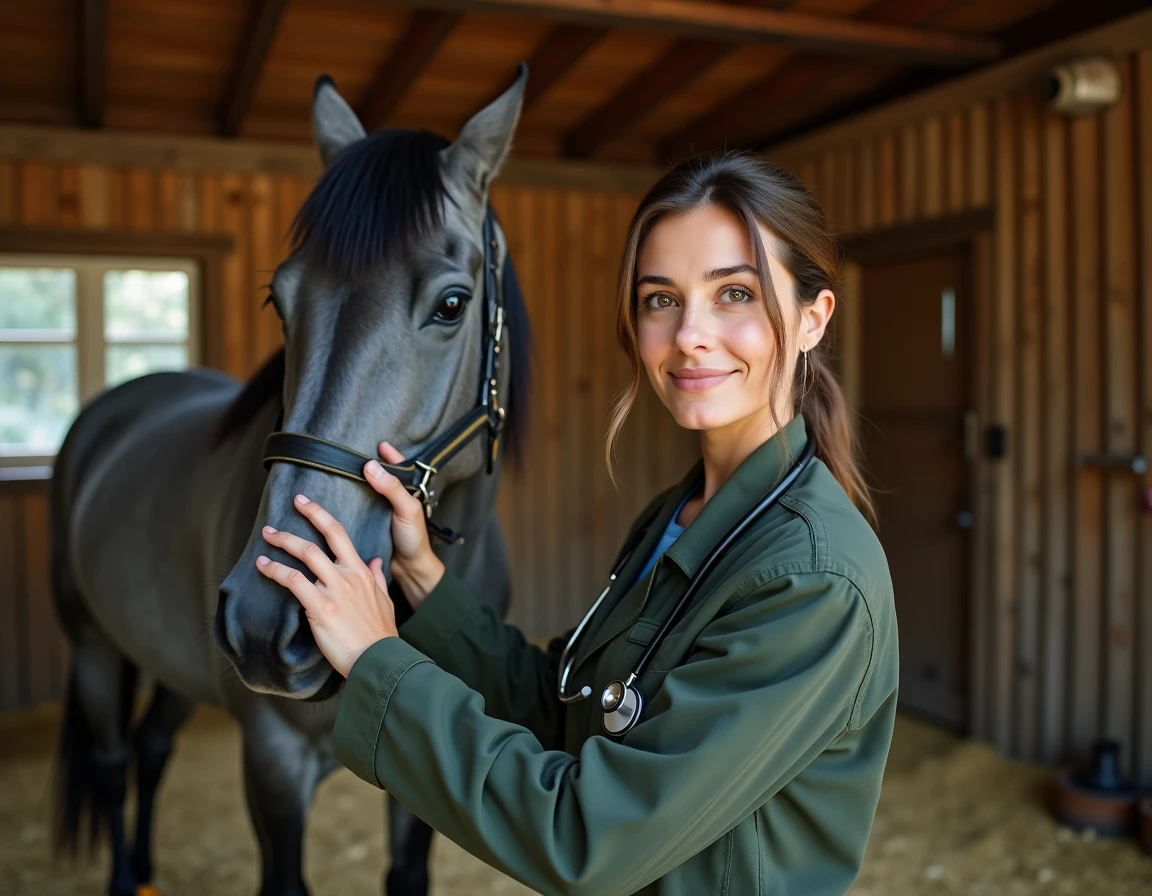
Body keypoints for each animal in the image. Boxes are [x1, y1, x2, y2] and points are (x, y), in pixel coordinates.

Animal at [49, 67, 531, 896]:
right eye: (280, 298)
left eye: (452, 304)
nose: (266, 619)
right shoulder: (271, 759)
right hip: (92, 648)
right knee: (111, 765)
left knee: (150, 748)